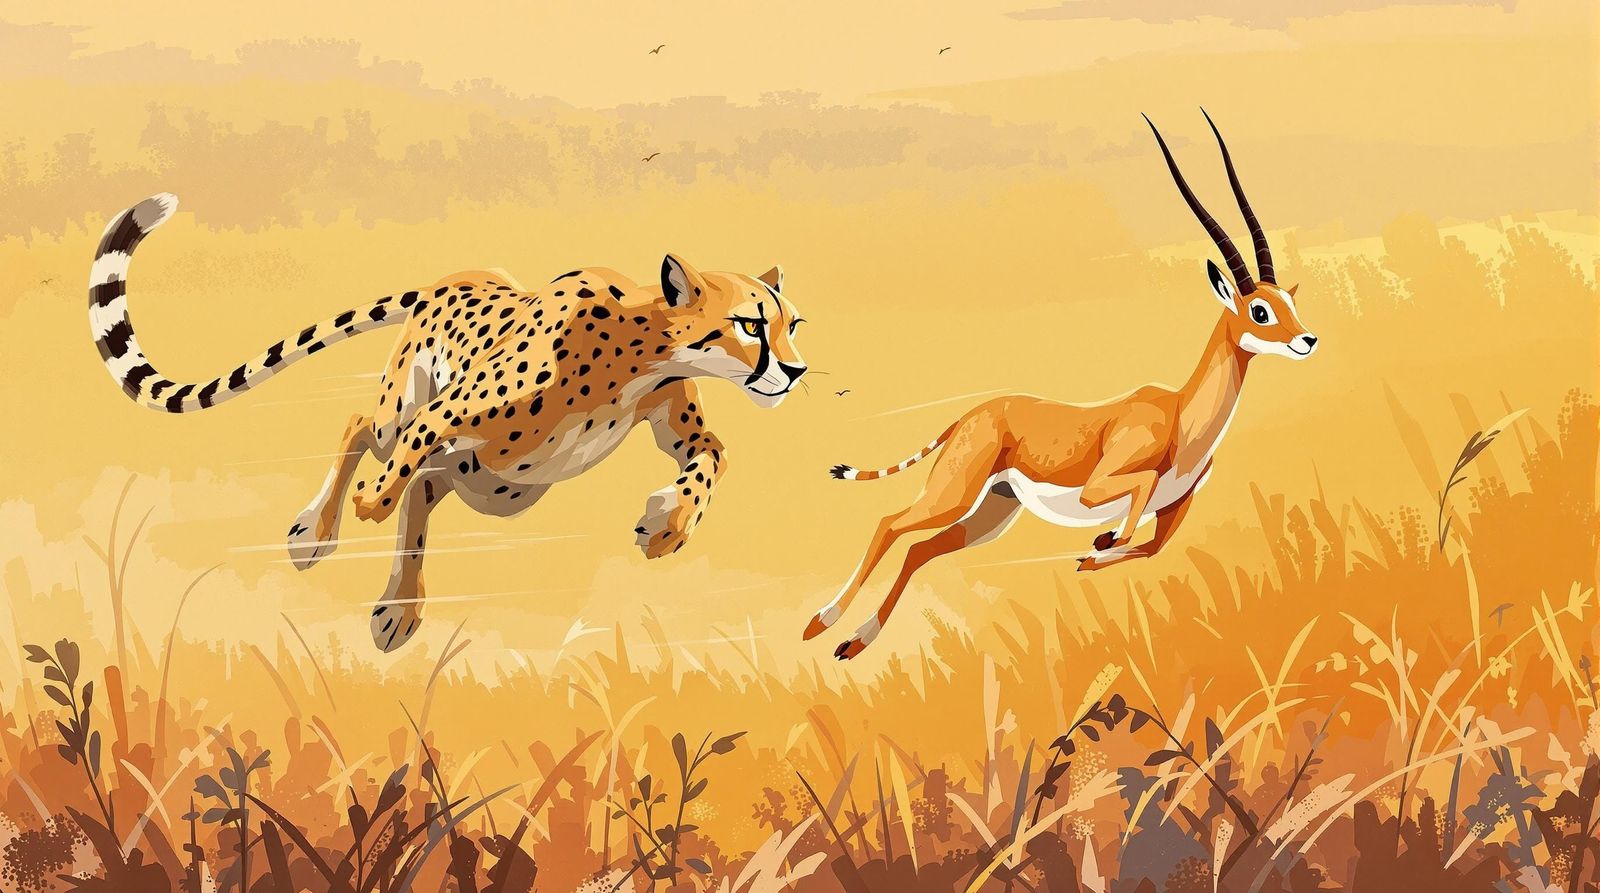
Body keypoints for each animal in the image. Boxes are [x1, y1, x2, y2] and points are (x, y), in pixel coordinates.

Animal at [808, 110, 1319, 660]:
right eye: (1259, 311)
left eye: (1288, 302)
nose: (1308, 340)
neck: (1182, 416)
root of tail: (973, 415)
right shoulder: (1103, 488)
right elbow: (1132, 508)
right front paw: (1103, 540)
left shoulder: (1174, 509)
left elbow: (1148, 547)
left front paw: (1093, 553)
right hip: (954, 494)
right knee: (890, 524)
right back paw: (820, 624)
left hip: (992, 511)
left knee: (921, 548)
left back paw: (854, 642)